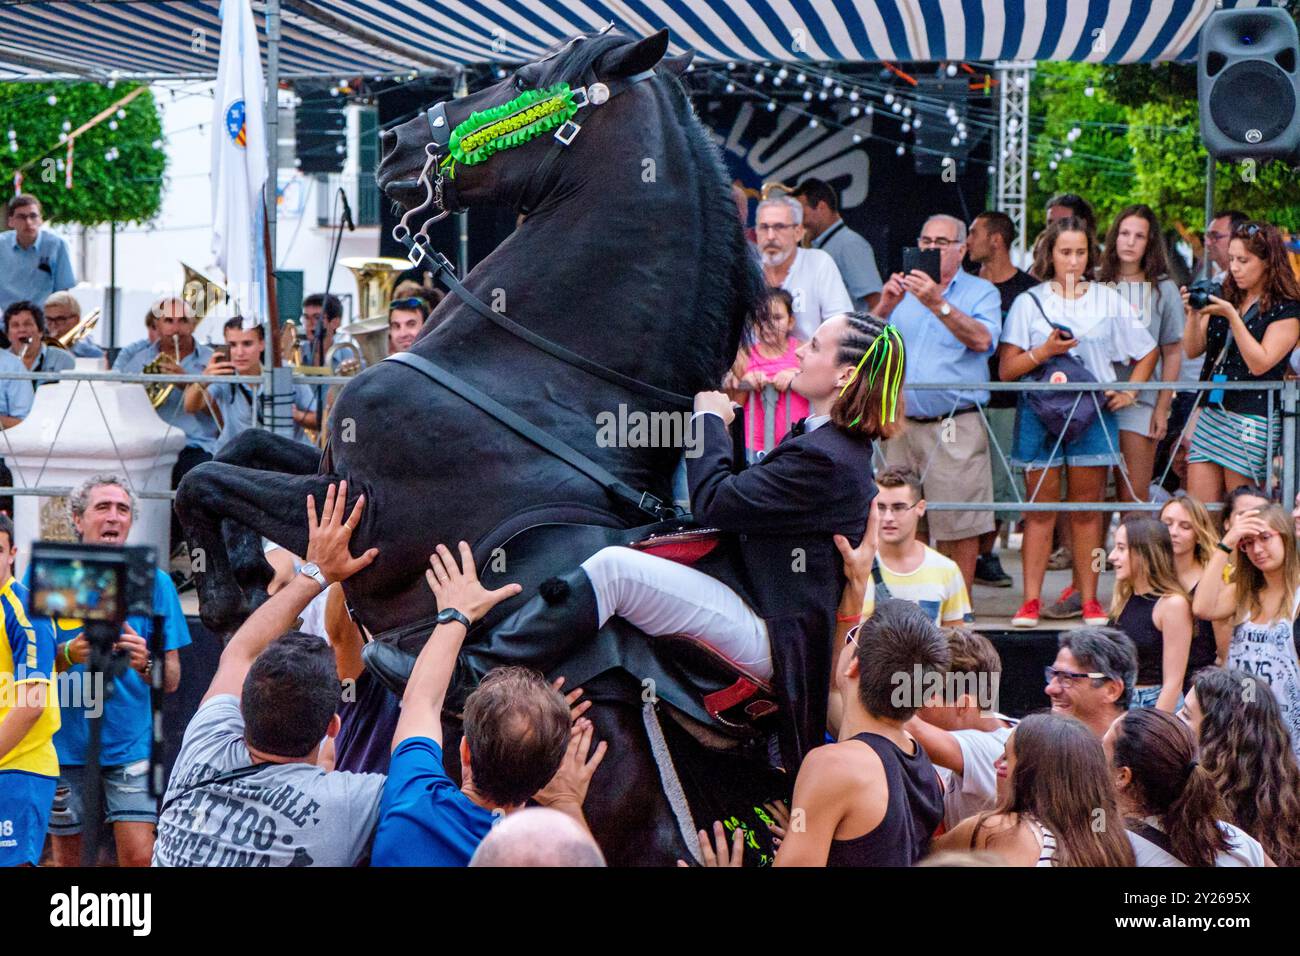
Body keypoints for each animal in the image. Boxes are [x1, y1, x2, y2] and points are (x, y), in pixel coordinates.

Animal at [172, 29, 769, 868]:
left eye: (521, 78)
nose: (393, 142)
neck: (532, 378)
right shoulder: (331, 470)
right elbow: (238, 447)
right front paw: (250, 569)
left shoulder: (365, 525)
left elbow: (205, 480)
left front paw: (231, 600)